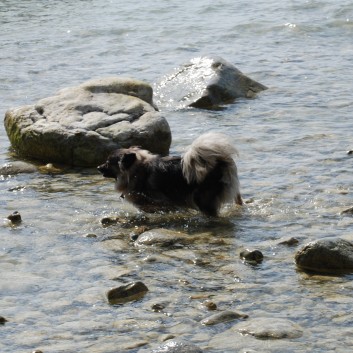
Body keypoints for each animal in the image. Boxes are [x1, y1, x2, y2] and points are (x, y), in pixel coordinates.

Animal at [97, 131, 243, 216]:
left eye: (108, 163)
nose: (98, 167)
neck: (136, 172)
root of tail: (221, 162)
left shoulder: (156, 203)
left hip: (202, 200)